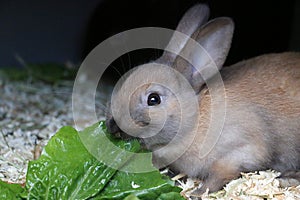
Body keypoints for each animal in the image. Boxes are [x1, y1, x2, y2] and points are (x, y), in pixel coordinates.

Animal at [105, 3, 300, 195]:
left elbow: (218, 177)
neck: (195, 119)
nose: (113, 127)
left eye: (153, 99)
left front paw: (197, 193)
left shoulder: (238, 153)